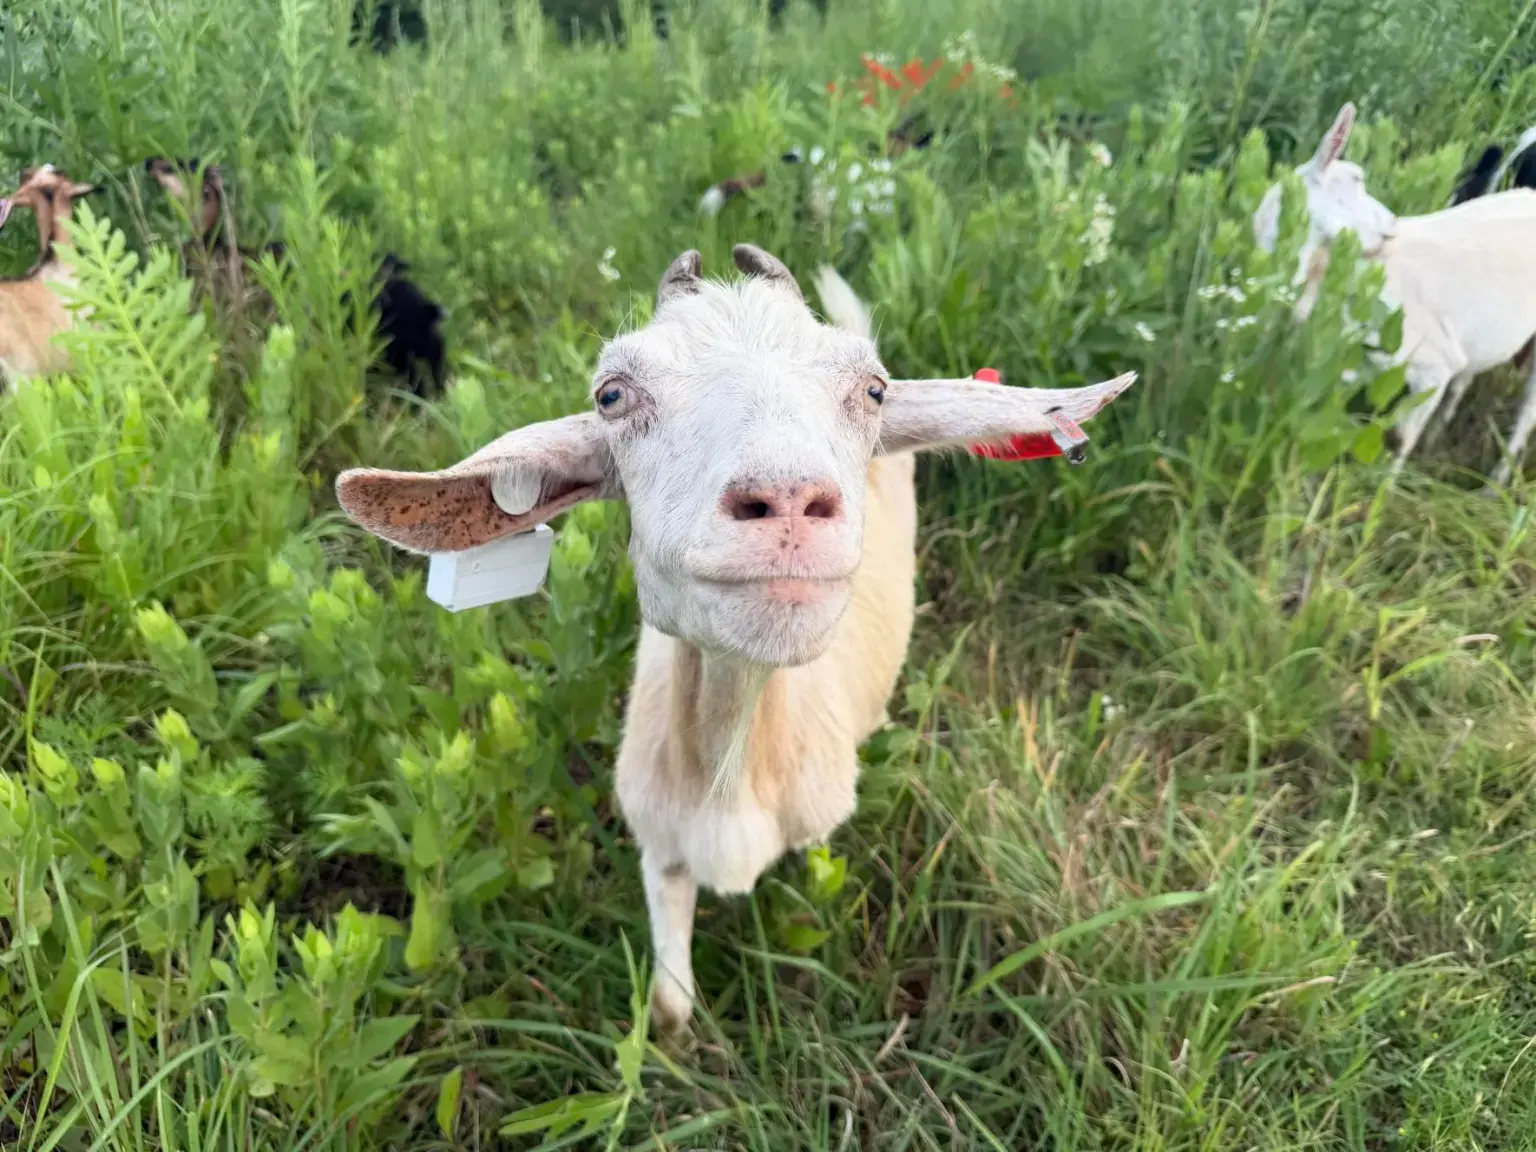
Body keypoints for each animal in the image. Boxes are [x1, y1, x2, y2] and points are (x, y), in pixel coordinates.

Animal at [334, 244, 1136, 1034]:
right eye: (611, 395)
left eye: (873, 391)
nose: (787, 501)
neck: (731, 771)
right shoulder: (657, 844)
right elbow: (669, 1007)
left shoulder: (815, 834)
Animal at [1255, 104, 1536, 482]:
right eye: (1356, 180)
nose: (1393, 222)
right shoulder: (1350, 368)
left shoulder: (1432, 364)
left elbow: (1398, 440)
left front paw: (1381, 492)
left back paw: (1493, 485)